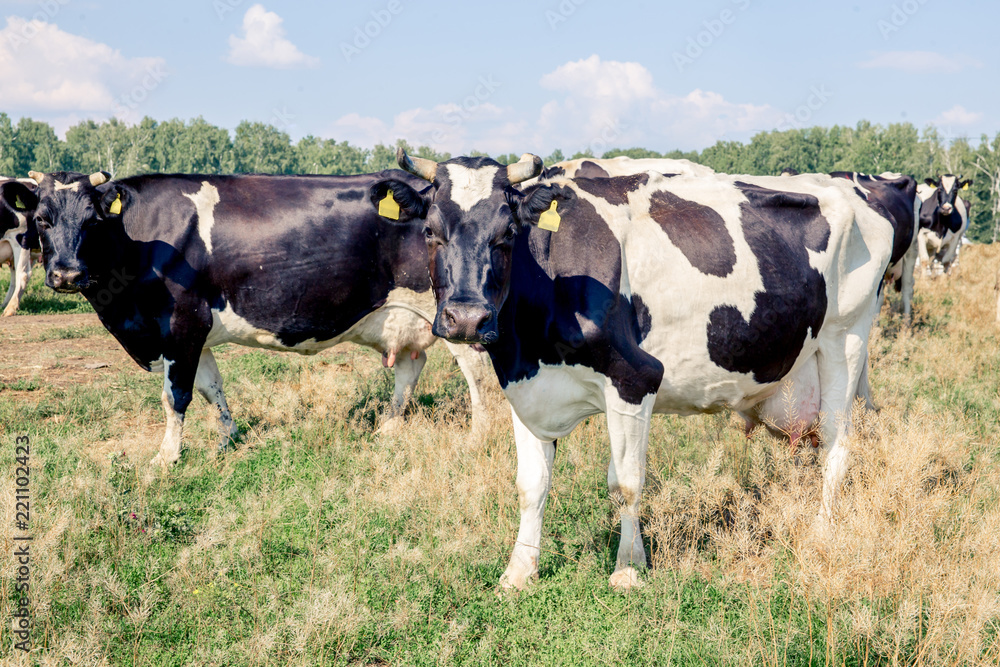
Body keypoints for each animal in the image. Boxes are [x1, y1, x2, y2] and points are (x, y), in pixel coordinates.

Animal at [29, 170, 498, 468]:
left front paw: (166, 457)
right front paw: (227, 439)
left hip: (453, 314)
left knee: (477, 372)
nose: (66, 274)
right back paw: (388, 427)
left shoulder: (182, 322)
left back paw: (477, 437)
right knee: (410, 364)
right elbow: (211, 387)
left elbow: (175, 396)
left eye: (93, 220)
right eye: (41, 219)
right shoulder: (189, 334)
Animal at [376, 150, 908, 588]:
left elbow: (627, 481)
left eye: (507, 233)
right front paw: (519, 571)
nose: (467, 318)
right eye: (430, 231)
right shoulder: (525, 387)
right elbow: (531, 485)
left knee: (838, 443)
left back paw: (822, 527)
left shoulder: (635, 378)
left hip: (845, 338)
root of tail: (852, 190)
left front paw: (629, 569)